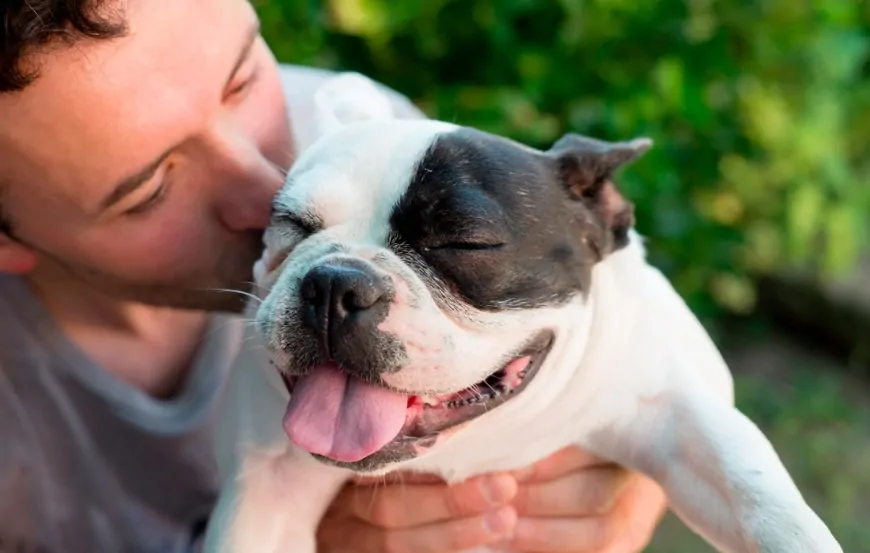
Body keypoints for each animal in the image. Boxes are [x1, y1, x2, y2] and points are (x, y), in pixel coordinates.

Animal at [204, 74, 844, 552]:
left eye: (466, 243)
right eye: (291, 226)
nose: (337, 283)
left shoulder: (672, 409)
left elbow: (755, 493)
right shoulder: (268, 488)